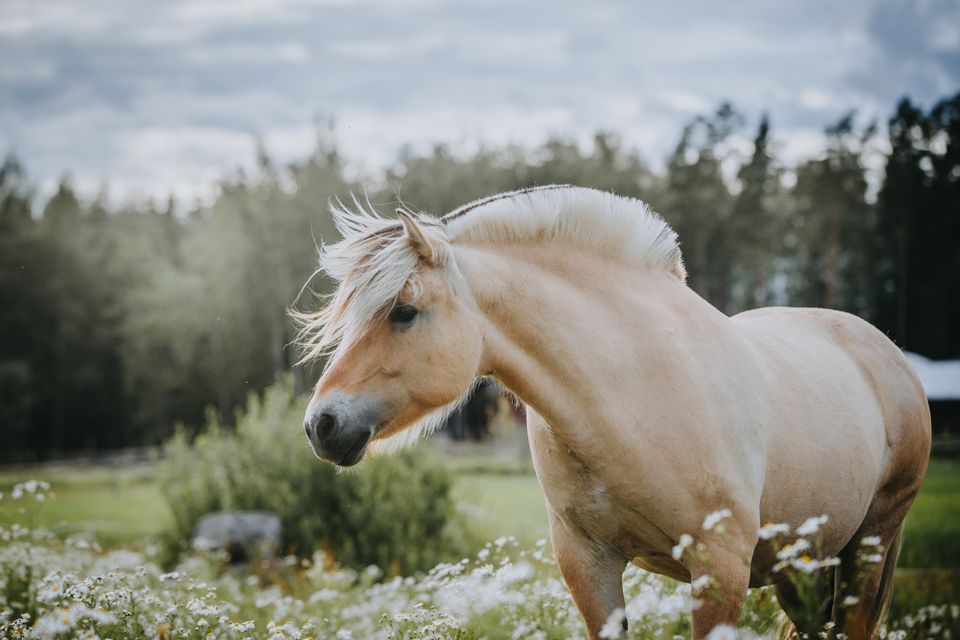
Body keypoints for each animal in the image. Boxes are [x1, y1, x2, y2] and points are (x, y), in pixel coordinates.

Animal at [298, 185, 928, 640]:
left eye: (403, 312)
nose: (320, 425)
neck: (629, 389)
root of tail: (885, 352)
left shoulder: (720, 569)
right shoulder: (588, 565)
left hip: (867, 549)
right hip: (804, 566)